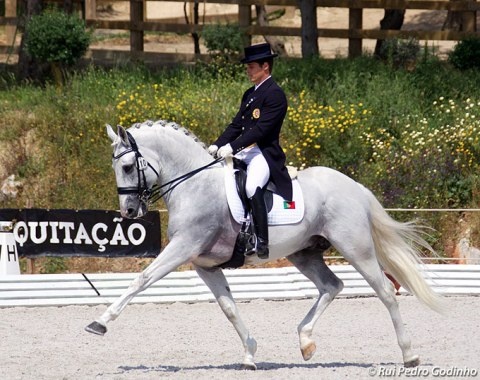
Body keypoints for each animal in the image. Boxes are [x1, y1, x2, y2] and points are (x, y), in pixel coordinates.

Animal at [85, 119, 442, 368]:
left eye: (127, 166)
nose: (129, 212)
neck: (194, 183)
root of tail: (355, 186)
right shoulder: (204, 264)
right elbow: (229, 308)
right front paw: (249, 354)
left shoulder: (183, 248)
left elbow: (142, 279)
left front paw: (99, 323)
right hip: (305, 253)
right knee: (332, 285)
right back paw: (305, 342)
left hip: (356, 248)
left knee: (386, 292)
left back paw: (409, 355)